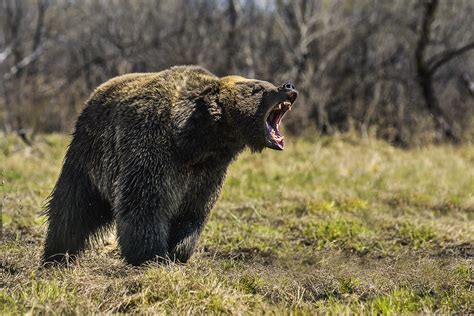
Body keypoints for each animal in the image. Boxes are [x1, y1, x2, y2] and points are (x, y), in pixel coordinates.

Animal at [41, 65, 296, 266]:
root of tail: (97, 91)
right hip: (89, 155)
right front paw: (152, 255)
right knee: (72, 206)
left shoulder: (208, 172)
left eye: (266, 83)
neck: (196, 142)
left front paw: (178, 252)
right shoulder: (153, 149)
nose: (288, 86)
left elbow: (192, 211)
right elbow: (145, 204)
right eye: (257, 88)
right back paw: (56, 254)